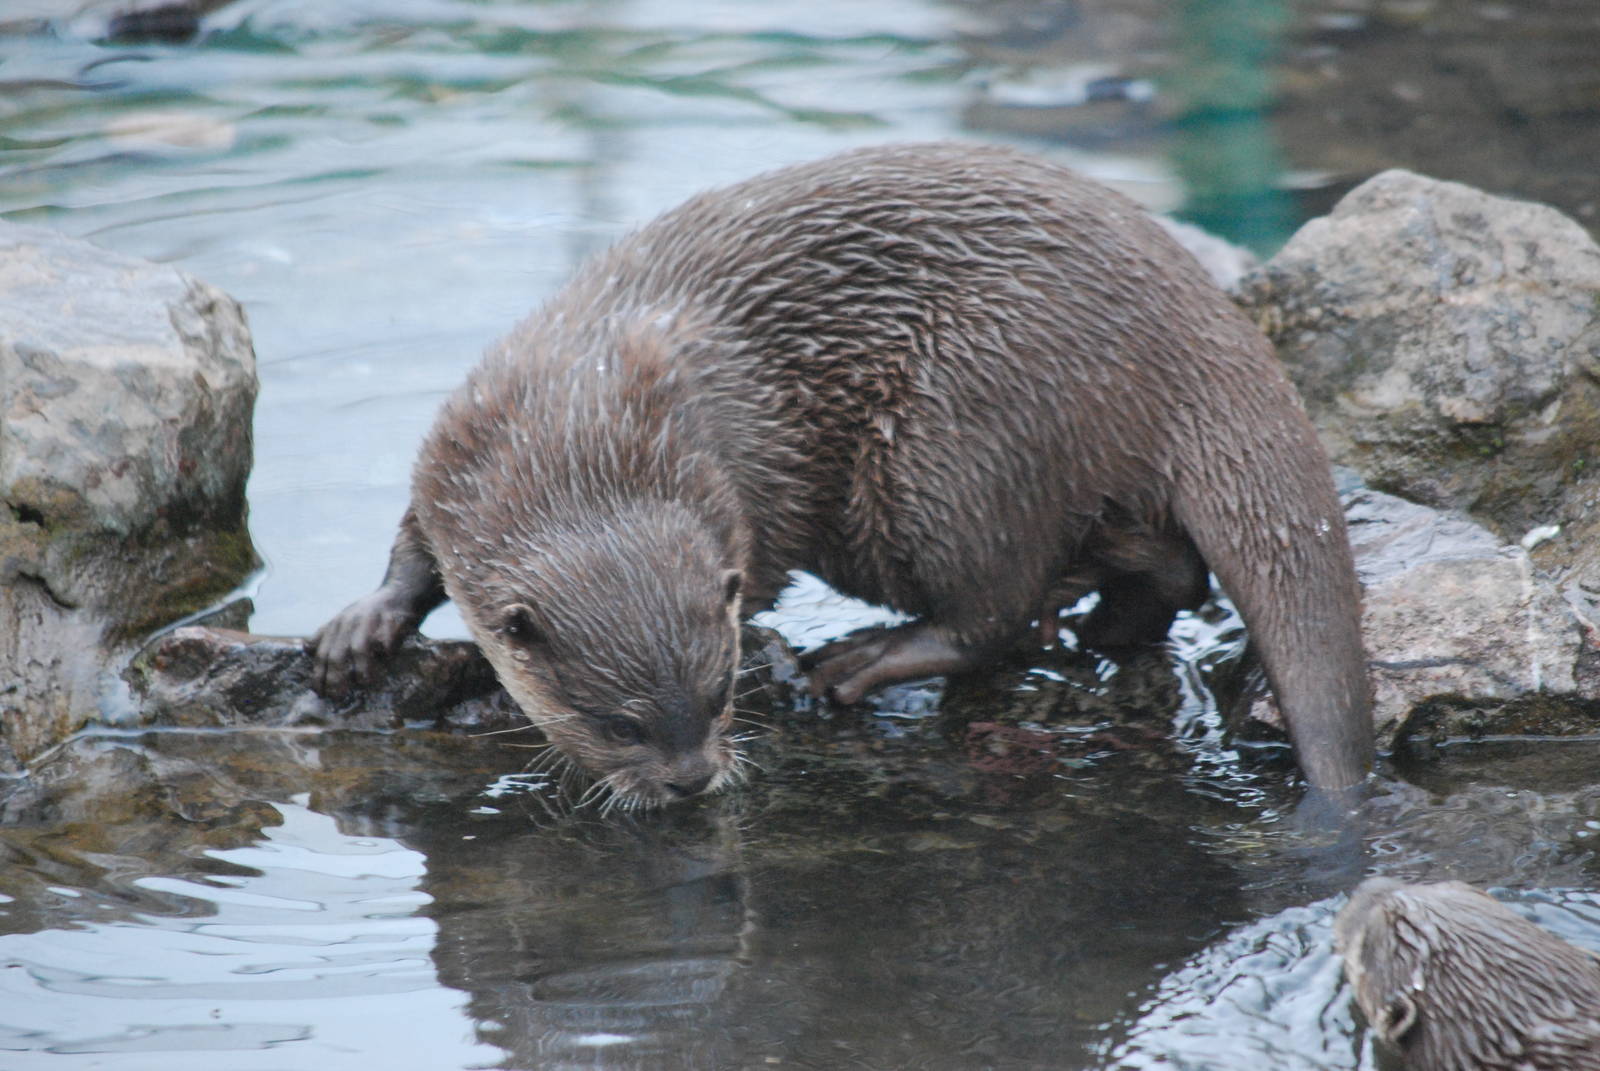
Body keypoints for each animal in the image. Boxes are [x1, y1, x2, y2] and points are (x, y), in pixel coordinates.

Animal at [311, 141, 1371, 805]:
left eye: (719, 694)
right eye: (618, 724)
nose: (691, 780)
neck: (578, 415)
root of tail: (1194, 319)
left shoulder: (750, 486)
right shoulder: (458, 443)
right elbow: (418, 542)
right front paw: (364, 624)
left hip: (952, 440)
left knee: (991, 613)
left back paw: (863, 661)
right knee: (1162, 567)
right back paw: (1104, 629)